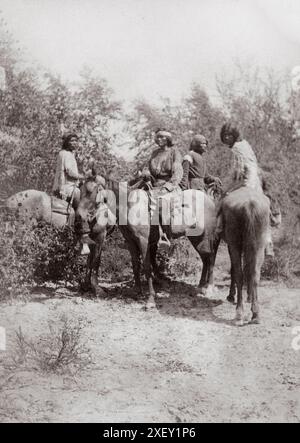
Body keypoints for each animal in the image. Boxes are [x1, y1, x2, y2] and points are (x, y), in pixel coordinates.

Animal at [220, 187, 272, 326]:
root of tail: (250, 204)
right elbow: (248, 269)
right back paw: (255, 314)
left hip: (234, 243)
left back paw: (239, 313)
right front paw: (249, 297)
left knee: (239, 273)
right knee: (254, 274)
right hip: (259, 245)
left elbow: (235, 269)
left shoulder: (231, 246)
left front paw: (231, 295)